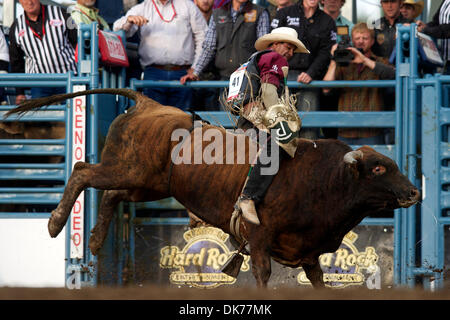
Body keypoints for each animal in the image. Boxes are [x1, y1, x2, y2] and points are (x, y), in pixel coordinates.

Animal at [3, 89, 420, 288]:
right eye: (379, 168)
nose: (415, 193)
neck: (326, 179)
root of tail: (147, 104)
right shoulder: (260, 237)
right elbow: (262, 273)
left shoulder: (309, 253)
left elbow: (319, 281)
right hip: (130, 168)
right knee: (82, 171)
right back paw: (56, 223)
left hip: (145, 182)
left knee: (111, 193)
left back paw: (92, 240)